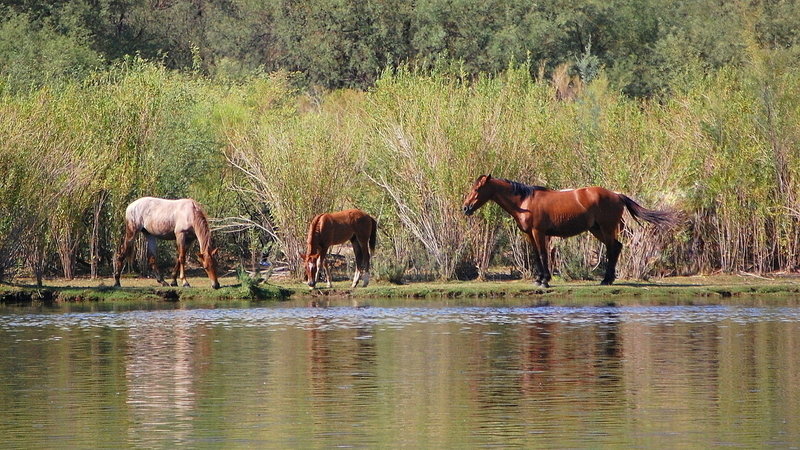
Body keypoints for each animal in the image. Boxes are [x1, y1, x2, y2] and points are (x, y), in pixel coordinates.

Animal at [462, 175, 676, 287]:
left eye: (477, 189)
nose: (466, 208)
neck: (525, 202)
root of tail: (616, 195)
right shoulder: (529, 234)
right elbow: (536, 255)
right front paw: (539, 279)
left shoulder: (539, 233)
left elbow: (543, 254)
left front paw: (545, 280)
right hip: (597, 230)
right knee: (616, 247)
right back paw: (608, 279)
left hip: (606, 228)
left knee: (612, 249)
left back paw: (606, 280)